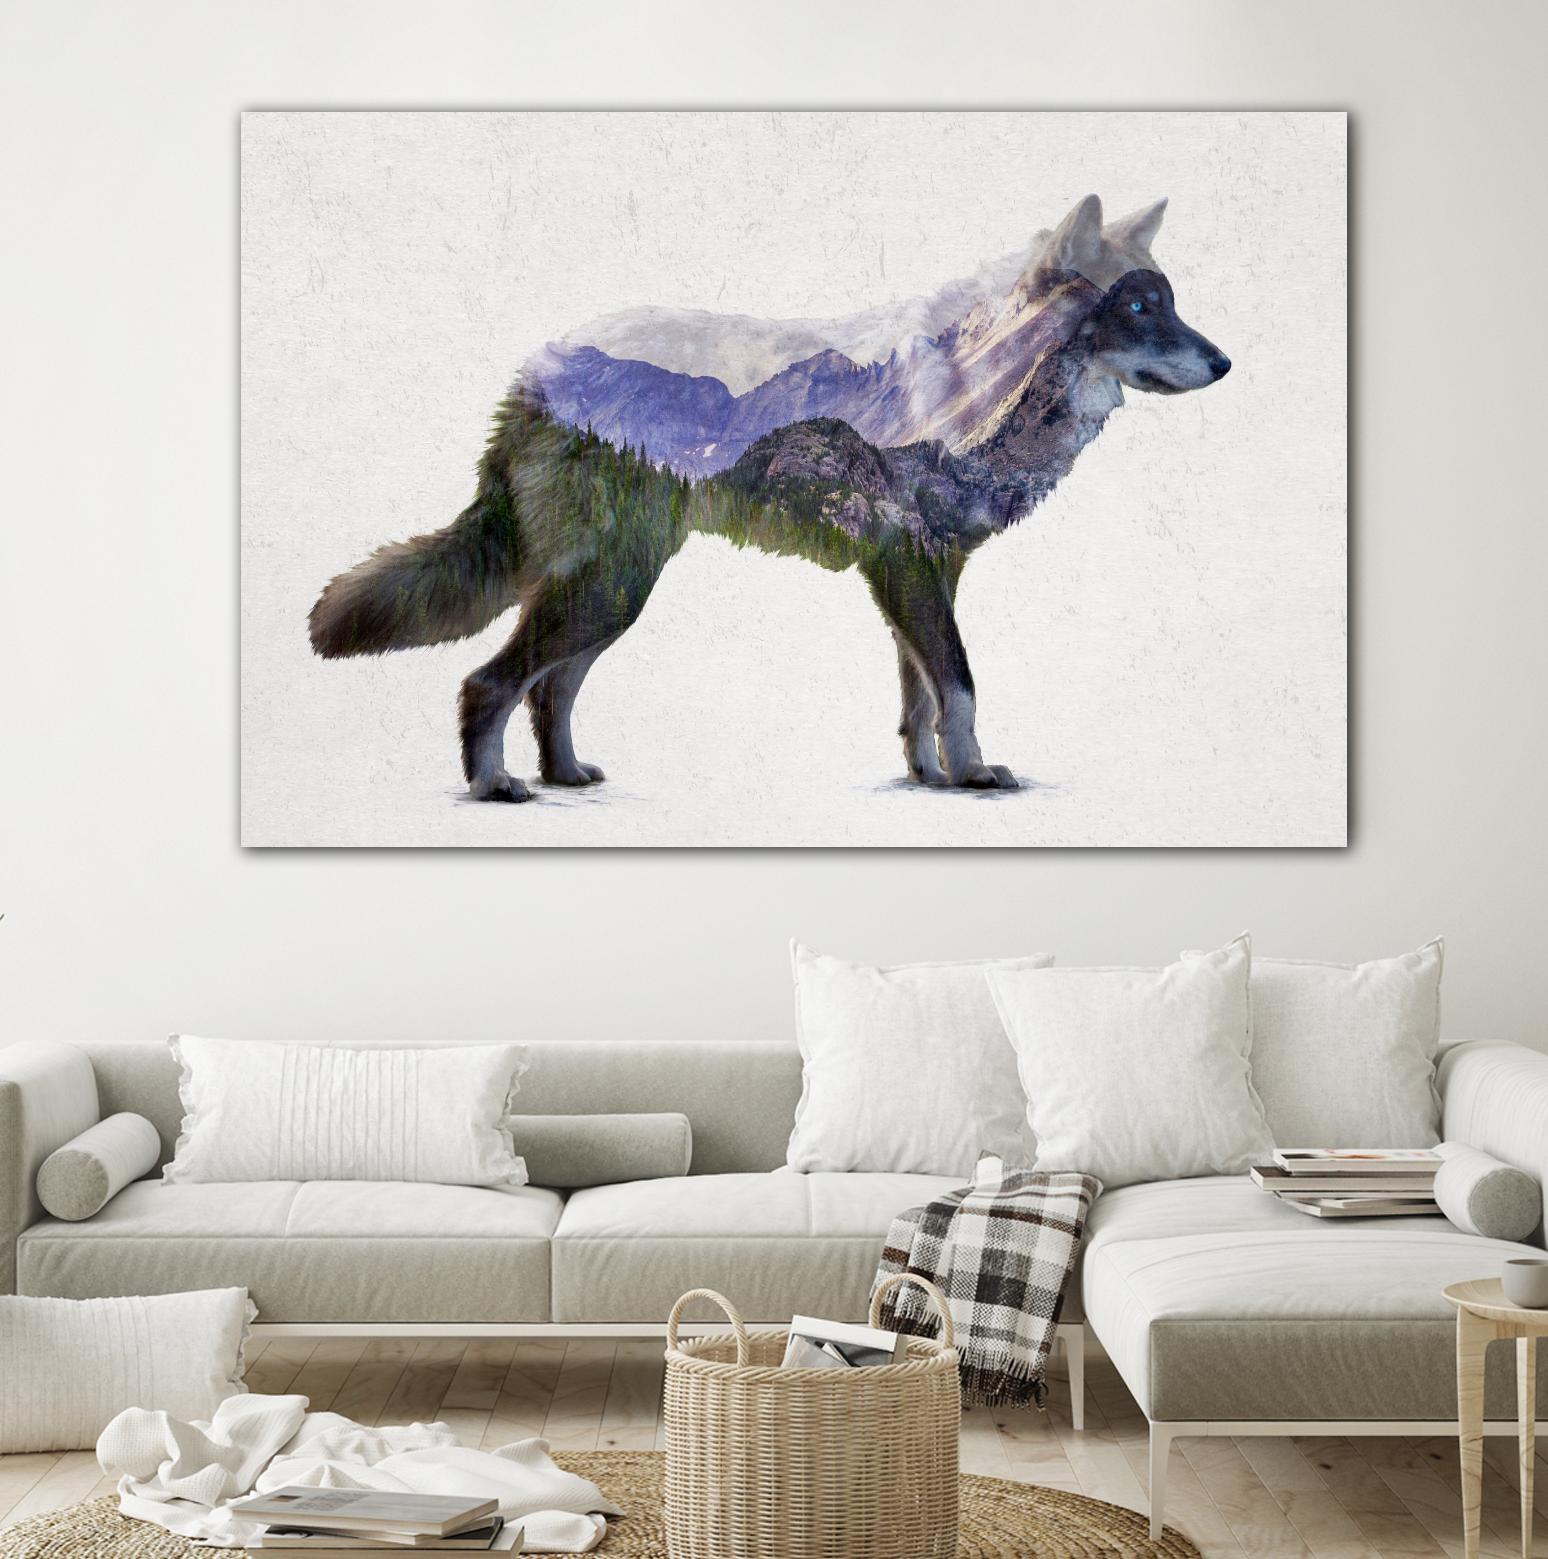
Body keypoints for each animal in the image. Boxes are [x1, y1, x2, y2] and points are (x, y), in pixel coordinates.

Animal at [308, 195, 1230, 802]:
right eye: (1138, 305)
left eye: (1171, 301)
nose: (1225, 363)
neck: (979, 390)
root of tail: (535, 372)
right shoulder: (909, 571)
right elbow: (960, 685)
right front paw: (973, 776)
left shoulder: (918, 578)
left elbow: (922, 699)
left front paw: (931, 777)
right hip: (610, 589)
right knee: (488, 682)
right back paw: (496, 787)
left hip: (615, 591)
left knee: (548, 689)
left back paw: (565, 775)